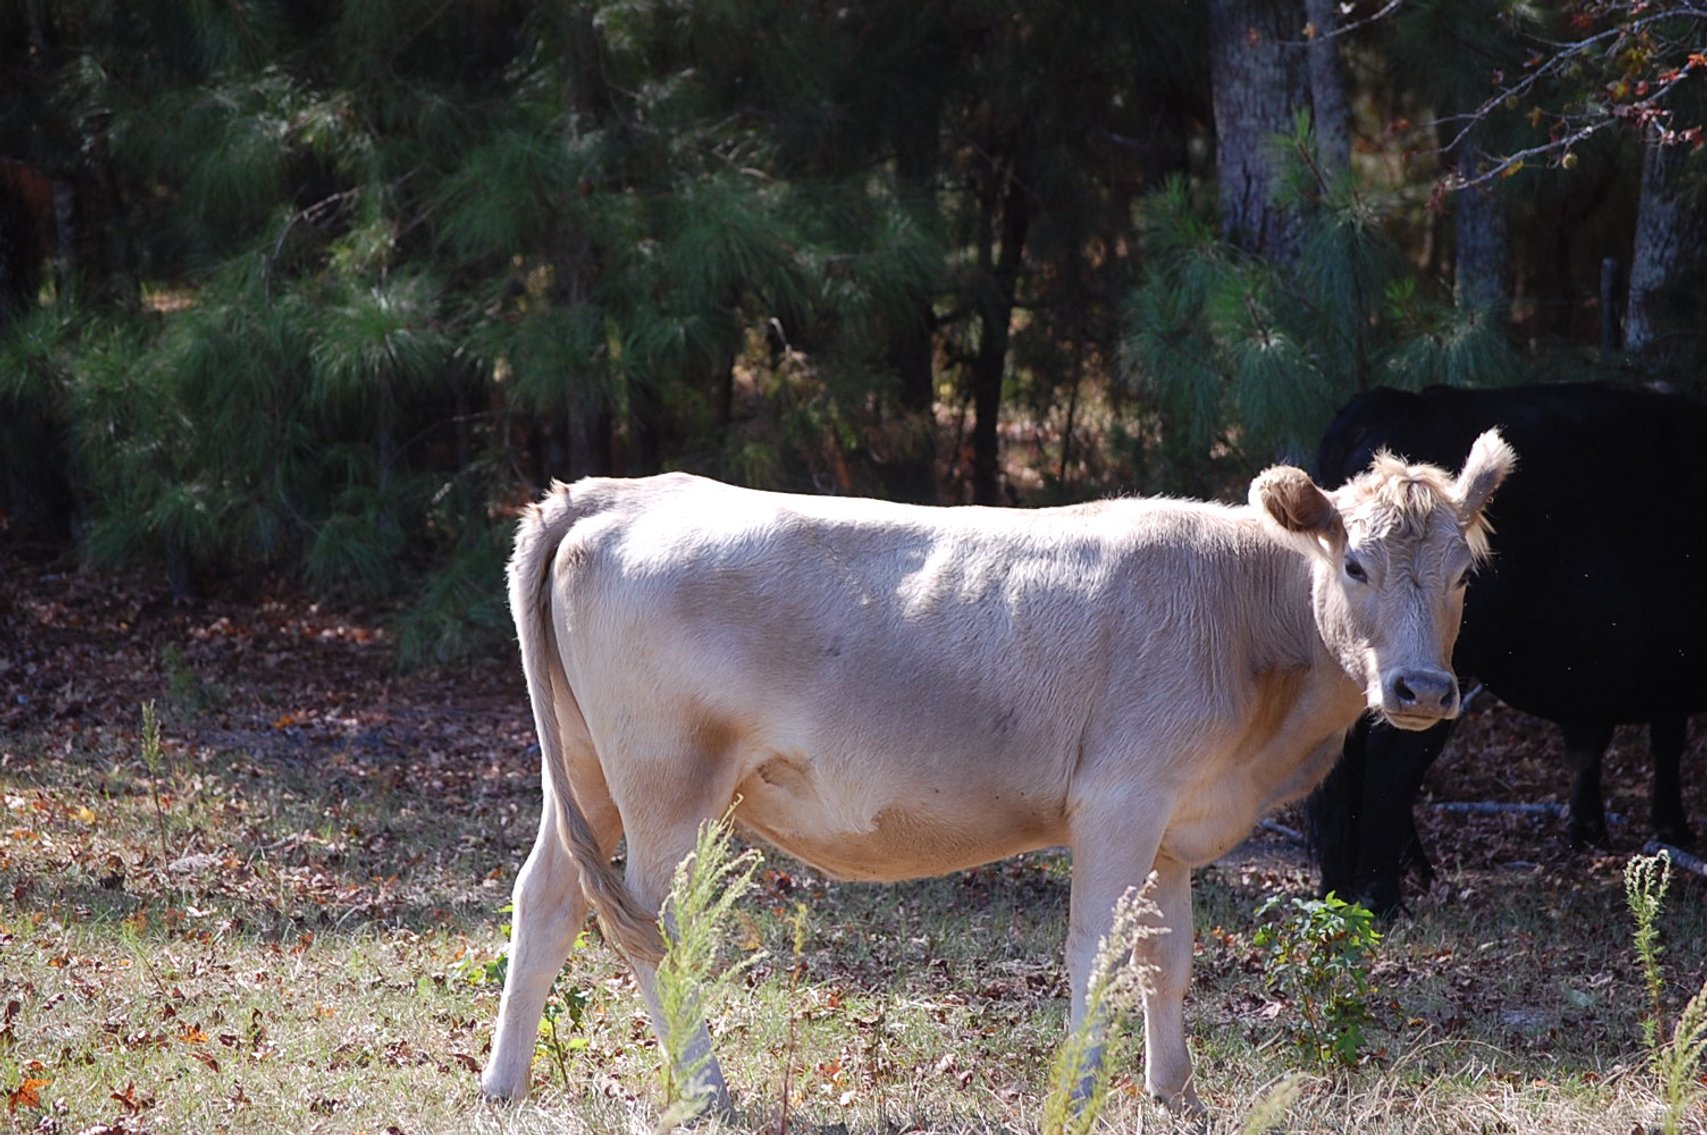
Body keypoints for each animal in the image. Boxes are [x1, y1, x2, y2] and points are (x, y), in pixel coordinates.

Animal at [480, 436, 1512, 1117]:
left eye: (1465, 574)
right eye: (1355, 563)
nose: (1422, 688)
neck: (1242, 611)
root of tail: (615, 490)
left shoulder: (1175, 825)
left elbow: (1165, 958)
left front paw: (1174, 1092)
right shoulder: (1120, 799)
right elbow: (1097, 952)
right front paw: (1084, 1093)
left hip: (586, 768)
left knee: (547, 897)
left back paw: (504, 1083)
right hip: (668, 780)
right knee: (656, 924)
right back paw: (705, 1091)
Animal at [1307, 382, 1707, 916]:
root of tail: (1394, 400)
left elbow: (1597, 743)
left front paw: (1590, 829)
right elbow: (1663, 739)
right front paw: (1668, 827)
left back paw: (1349, 886)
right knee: (1392, 763)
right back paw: (1383, 896)